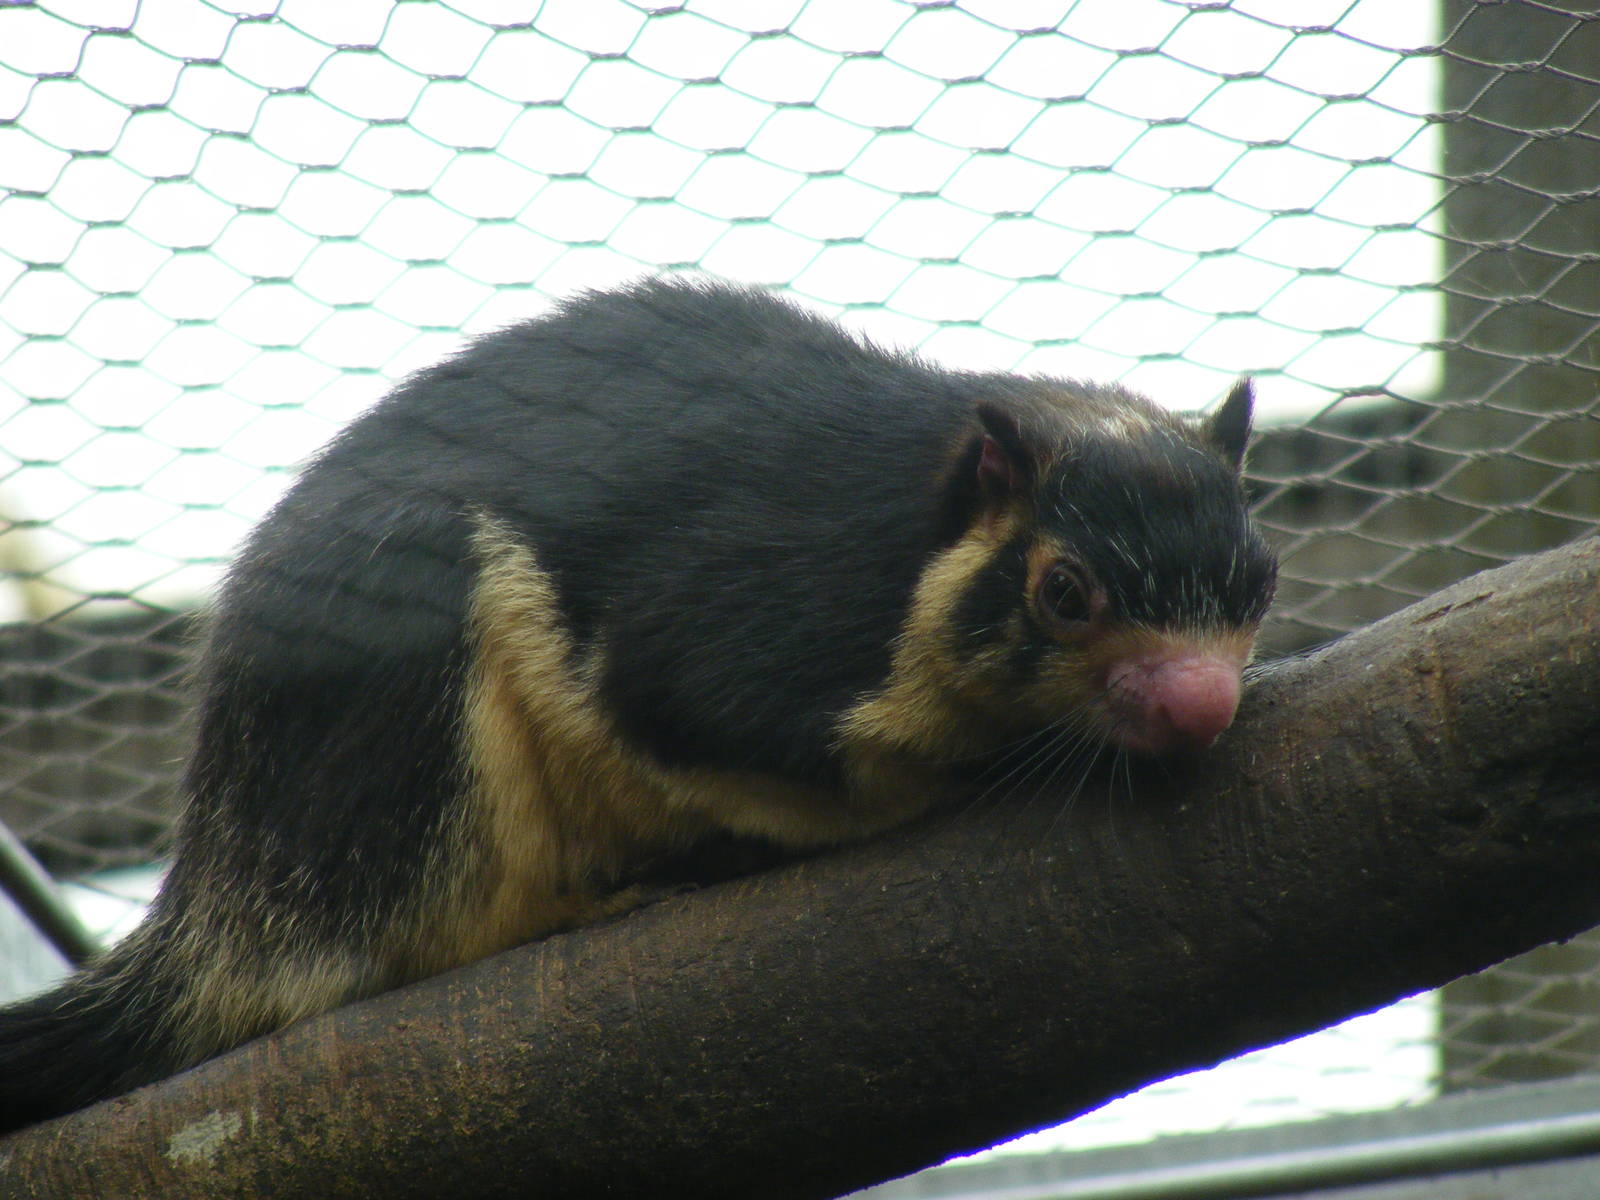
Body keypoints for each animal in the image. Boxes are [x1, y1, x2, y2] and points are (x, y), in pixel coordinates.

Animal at [0, 278, 1276, 1132]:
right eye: (1064, 591)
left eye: (1259, 579)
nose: (1200, 707)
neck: (911, 533)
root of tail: (213, 895)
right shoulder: (734, 634)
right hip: (403, 689)